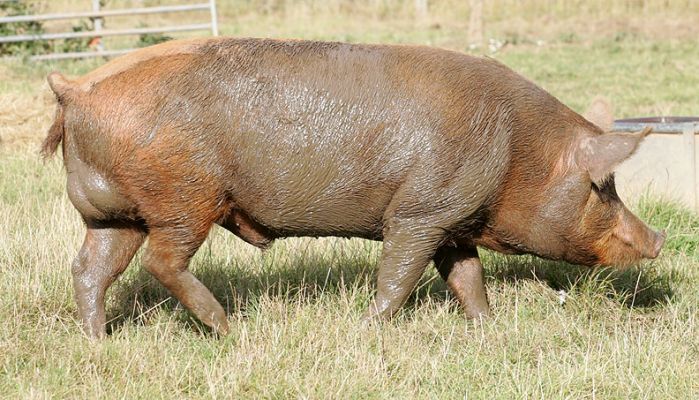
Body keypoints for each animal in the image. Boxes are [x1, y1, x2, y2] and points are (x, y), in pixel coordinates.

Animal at [42, 38, 665, 338]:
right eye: (604, 186)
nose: (658, 239)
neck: (519, 152)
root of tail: (76, 89)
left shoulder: (452, 220)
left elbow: (467, 278)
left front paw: (489, 329)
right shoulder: (418, 212)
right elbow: (398, 277)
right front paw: (365, 330)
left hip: (115, 213)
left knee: (91, 268)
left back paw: (99, 341)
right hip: (183, 196)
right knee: (160, 262)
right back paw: (230, 329)